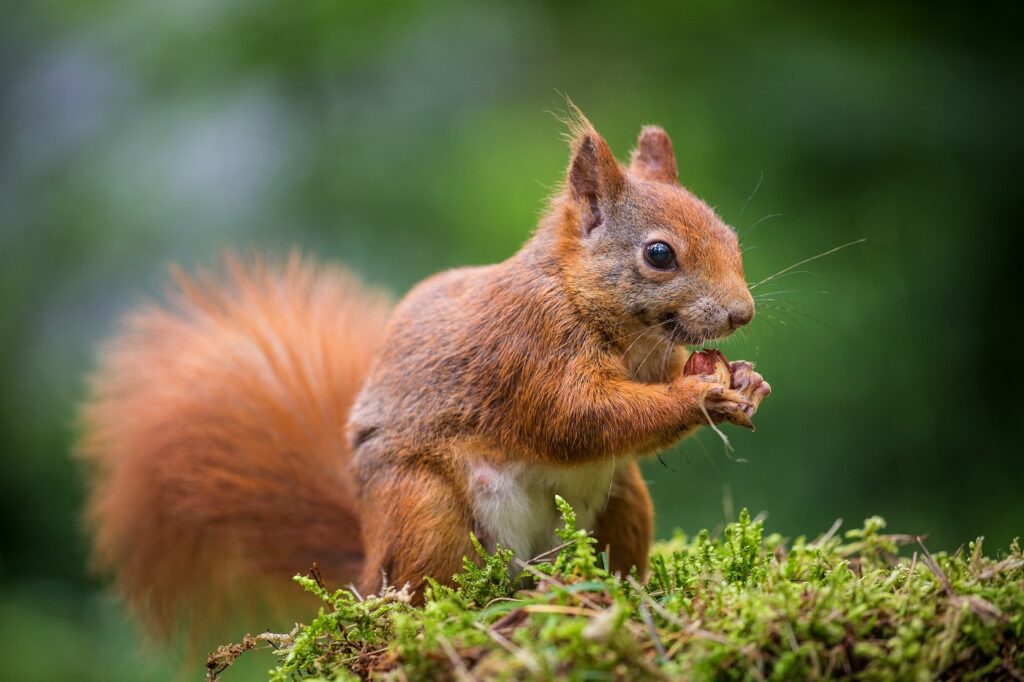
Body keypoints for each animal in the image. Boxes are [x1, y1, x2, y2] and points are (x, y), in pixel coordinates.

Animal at [77, 109, 770, 634]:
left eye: (731, 235)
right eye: (659, 254)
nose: (742, 312)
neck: (611, 323)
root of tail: (366, 572)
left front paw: (747, 380)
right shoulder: (529, 350)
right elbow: (581, 418)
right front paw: (700, 392)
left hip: (624, 503)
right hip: (425, 508)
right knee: (421, 587)